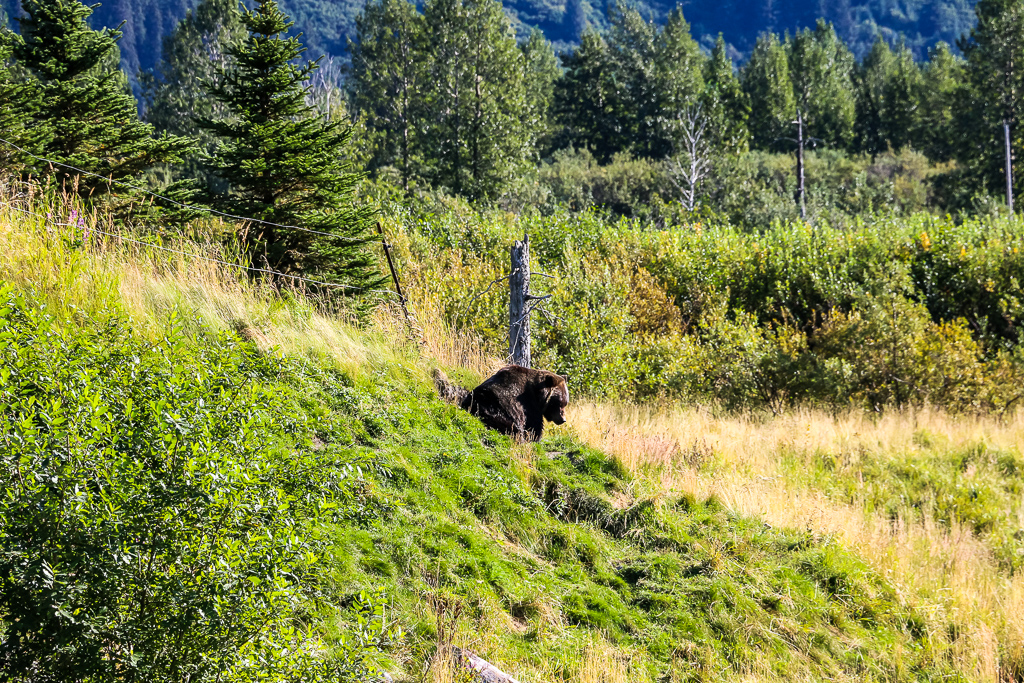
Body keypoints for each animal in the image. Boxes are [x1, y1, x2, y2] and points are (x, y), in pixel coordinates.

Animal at [432, 366, 569, 440]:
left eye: (565, 403)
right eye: (559, 403)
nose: (563, 419)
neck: (538, 394)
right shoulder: (527, 406)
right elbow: (534, 427)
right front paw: (534, 437)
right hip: (495, 409)